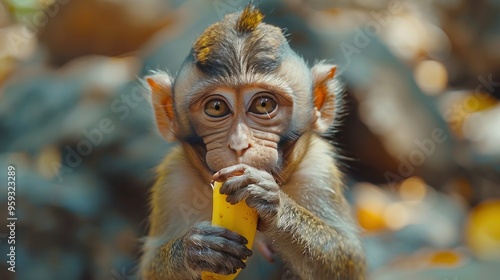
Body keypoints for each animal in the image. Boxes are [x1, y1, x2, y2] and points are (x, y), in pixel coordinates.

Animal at [139, 4, 366, 280]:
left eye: (263, 104)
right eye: (216, 107)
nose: (239, 144)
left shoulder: (318, 169)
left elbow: (350, 256)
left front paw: (274, 204)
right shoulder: (174, 179)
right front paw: (195, 250)